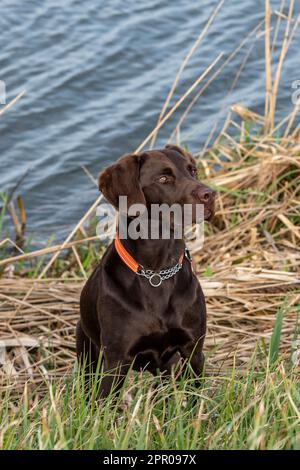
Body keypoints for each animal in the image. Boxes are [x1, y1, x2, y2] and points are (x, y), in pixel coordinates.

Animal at [76, 144, 214, 396]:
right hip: (87, 355)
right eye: (163, 178)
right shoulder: (115, 363)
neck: (157, 271)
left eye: (193, 170)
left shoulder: (193, 352)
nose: (210, 194)